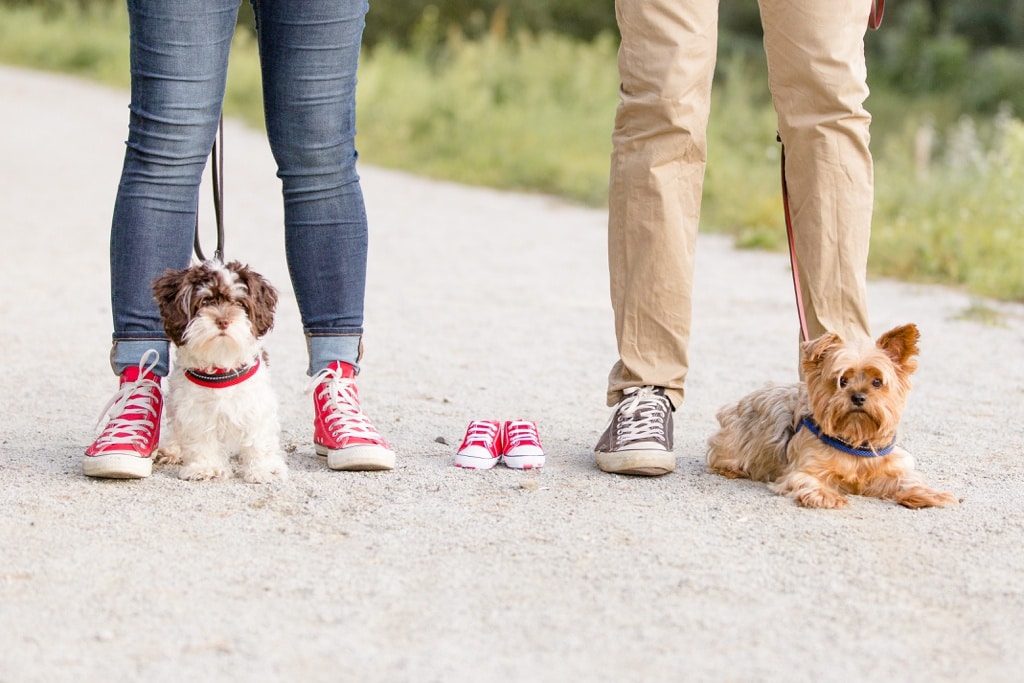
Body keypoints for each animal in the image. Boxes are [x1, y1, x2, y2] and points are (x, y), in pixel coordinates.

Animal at [149, 259, 284, 483]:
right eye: (204, 302)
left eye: (239, 303)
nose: (223, 321)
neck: (221, 363)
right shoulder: (194, 410)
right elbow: (200, 439)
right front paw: (206, 467)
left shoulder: (255, 404)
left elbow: (259, 438)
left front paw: (263, 469)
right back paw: (172, 449)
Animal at [708, 325, 954, 507]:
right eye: (842, 381)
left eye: (877, 382)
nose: (858, 397)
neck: (854, 439)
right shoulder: (803, 470)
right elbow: (807, 481)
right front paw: (826, 495)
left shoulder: (887, 469)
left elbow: (907, 481)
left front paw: (930, 494)